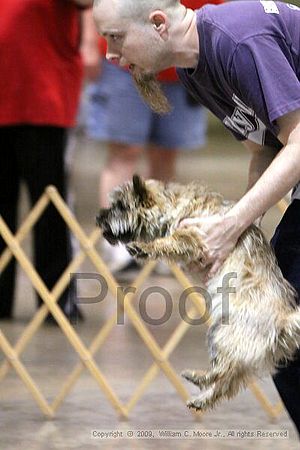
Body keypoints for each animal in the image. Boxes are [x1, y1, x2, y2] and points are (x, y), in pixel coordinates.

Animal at [97, 175, 300, 412]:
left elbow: (171, 242)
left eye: (120, 206)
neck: (174, 205)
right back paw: (200, 392)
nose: (98, 217)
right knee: (228, 380)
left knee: (225, 371)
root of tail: (284, 321)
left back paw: (199, 379)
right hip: (221, 333)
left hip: (229, 334)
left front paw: (145, 247)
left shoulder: (194, 235)